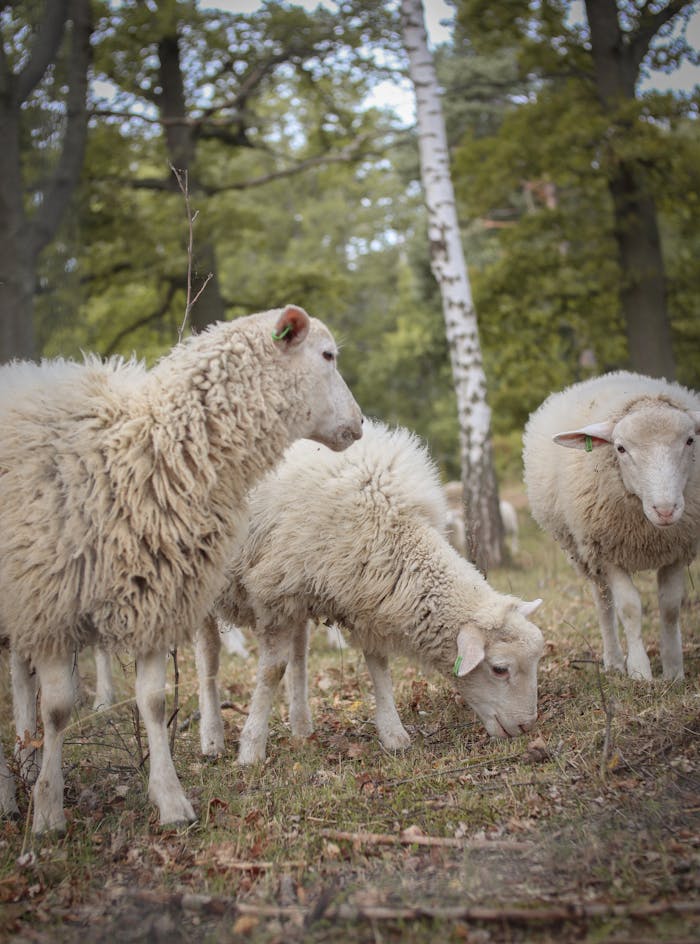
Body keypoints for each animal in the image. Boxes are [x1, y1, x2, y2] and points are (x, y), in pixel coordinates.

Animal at [0, 305, 362, 831]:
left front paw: (171, 800)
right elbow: (60, 709)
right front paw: (49, 811)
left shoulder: (154, 596)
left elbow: (153, 702)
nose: (360, 423)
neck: (149, 444)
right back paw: (16, 788)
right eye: (328, 354)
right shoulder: (50, 601)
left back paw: (24, 763)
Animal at [195, 421, 544, 764]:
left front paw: (393, 733)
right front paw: (251, 749)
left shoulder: (368, 594)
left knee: (299, 654)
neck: (390, 523)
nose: (527, 725)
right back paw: (212, 738)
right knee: (208, 659)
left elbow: (379, 666)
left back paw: (301, 726)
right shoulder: (276, 595)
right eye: (500, 669)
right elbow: (270, 672)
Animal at [523, 370, 700, 681]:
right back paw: (615, 661)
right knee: (603, 602)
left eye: (690, 440)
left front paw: (673, 671)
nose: (665, 509)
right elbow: (629, 608)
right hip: (584, 552)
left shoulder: (677, 550)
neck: (649, 533)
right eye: (620, 448)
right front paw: (639, 671)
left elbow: (669, 608)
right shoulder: (607, 552)